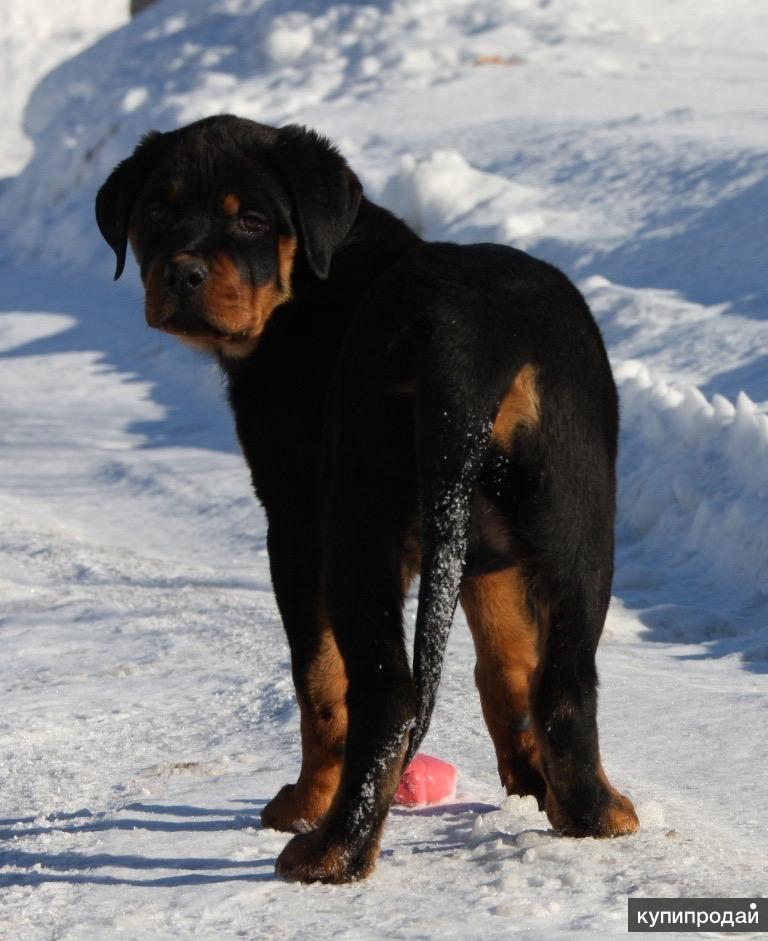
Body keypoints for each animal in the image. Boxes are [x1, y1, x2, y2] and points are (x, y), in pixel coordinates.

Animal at [94, 115, 636, 880]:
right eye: (156, 215)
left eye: (253, 220)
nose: (183, 272)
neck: (307, 286)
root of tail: (472, 339)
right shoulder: (483, 548)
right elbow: (504, 665)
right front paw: (531, 784)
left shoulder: (295, 527)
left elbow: (318, 683)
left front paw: (302, 802)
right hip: (577, 518)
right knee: (566, 680)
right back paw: (596, 813)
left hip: (357, 524)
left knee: (386, 694)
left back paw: (330, 851)